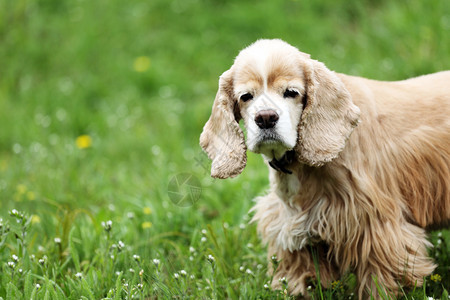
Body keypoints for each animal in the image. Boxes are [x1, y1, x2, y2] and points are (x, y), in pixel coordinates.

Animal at [200, 39, 450, 298]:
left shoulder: (373, 223)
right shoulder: (292, 223)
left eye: (292, 92)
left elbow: (380, 277)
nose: (266, 118)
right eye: (245, 96)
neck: (296, 164)